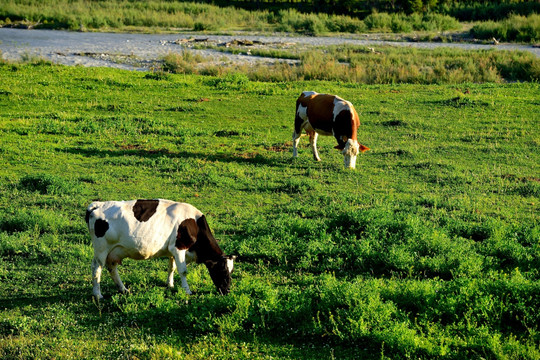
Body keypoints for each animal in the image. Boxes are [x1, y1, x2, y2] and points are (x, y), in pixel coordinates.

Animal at [85, 200, 235, 298]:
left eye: (231, 271)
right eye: (222, 269)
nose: (227, 290)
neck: (194, 224)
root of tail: (97, 205)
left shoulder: (172, 250)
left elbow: (171, 268)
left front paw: (170, 285)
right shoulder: (179, 247)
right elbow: (183, 271)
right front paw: (187, 291)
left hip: (114, 251)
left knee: (112, 269)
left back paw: (123, 289)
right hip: (101, 249)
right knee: (96, 268)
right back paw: (98, 295)